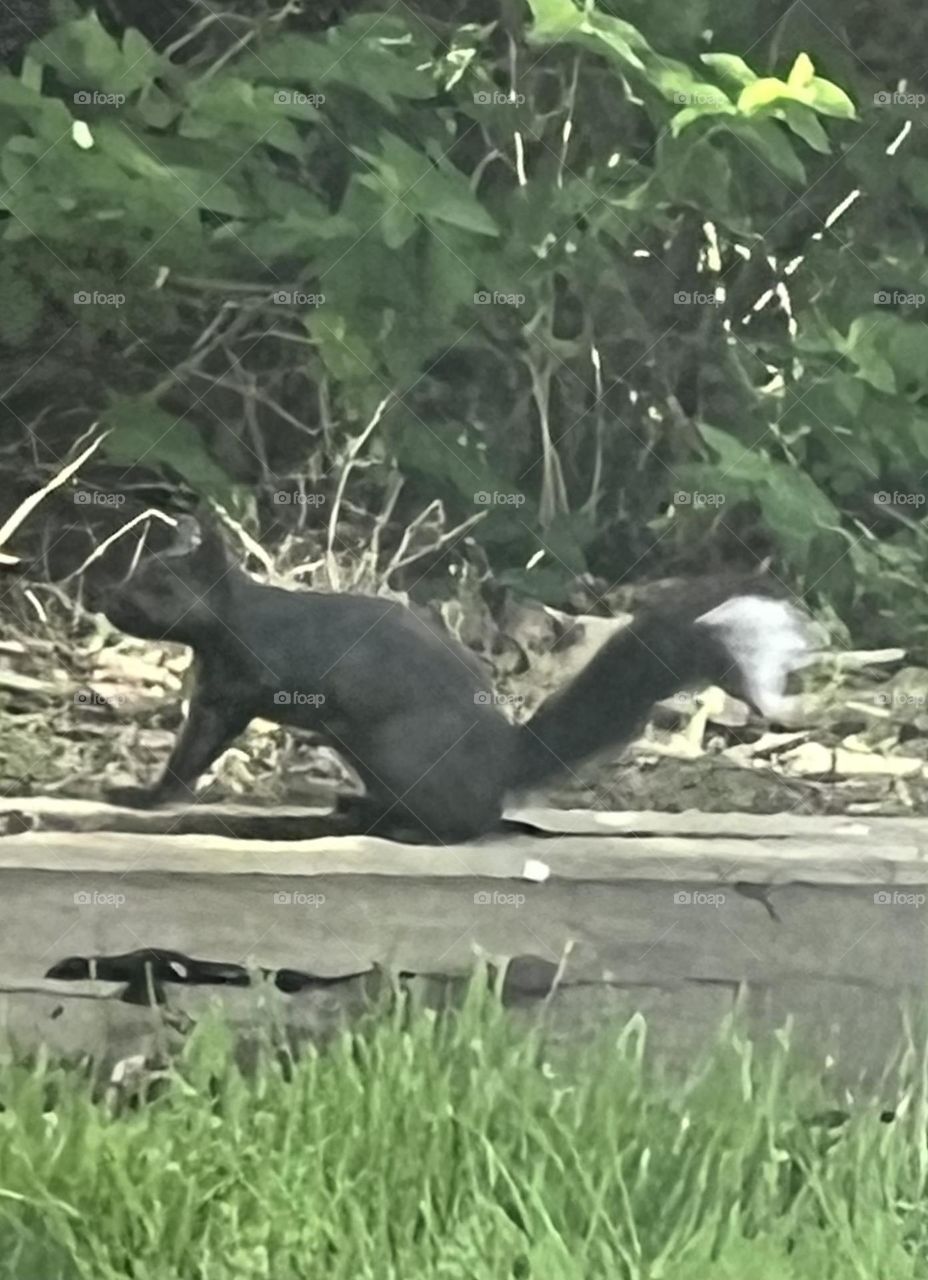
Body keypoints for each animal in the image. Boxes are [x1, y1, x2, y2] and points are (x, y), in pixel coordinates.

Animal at [94, 515, 813, 843]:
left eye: (158, 585)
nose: (108, 600)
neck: (235, 622)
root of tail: (503, 760)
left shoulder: (239, 687)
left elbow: (198, 748)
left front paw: (146, 796)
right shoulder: (214, 688)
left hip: (398, 748)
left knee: (465, 821)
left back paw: (395, 826)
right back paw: (360, 808)